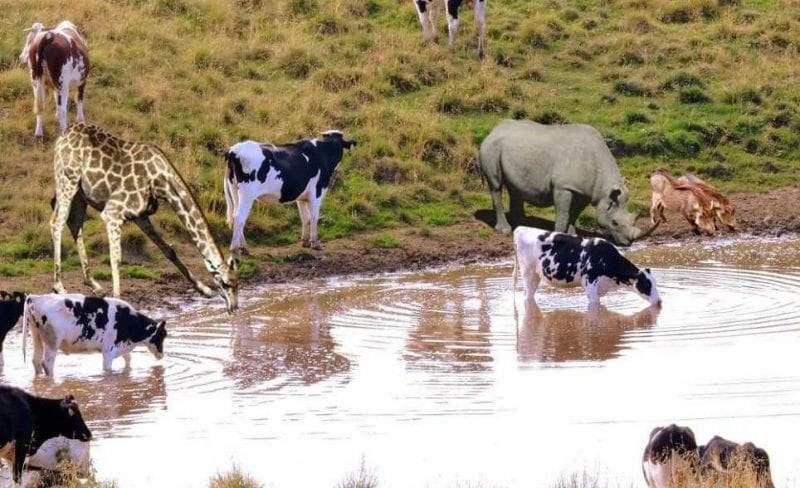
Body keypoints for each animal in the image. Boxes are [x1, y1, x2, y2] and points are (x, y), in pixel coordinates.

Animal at [22, 294, 166, 378]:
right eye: (163, 335)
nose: (162, 355)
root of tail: (35, 297)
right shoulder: (108, 351)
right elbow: (107, 370)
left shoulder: (121, 347)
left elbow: (128, 359)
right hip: (52, 341)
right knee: (47, 363)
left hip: (36, 336)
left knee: (36, 360)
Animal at [48, 122, 238, 312]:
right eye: (225, 283)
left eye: (237, 284)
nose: (234, 307)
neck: (161, 181)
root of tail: (62, 136)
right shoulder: (113, 212)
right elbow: (116, 258)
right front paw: (118, 299)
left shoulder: (140, 216)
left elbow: (168, 250)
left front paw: (205, 290)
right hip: (67, 180)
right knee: (57, 223)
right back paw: (59, 286)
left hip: (80, 193)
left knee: (74, 223)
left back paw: (94, 284)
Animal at [220, 129, 354, 252]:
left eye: (339, 143)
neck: (323, 153)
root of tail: (233, 151)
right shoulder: (316, 194)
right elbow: (314, 217)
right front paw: (315, 243)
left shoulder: (301, 197)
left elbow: (305, 217)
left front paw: (305, 241)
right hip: (247, 194)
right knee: (239, 217)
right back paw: (234, 248)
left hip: (235, 190)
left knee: (235, 215)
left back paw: (243, 246)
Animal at [516, 227, 660, 306]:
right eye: (646, 285)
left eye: (655, 283)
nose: (659, 301)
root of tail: (521, 229)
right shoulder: (590, 283)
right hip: (527, 273)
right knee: (527, 296)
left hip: (535, 275)